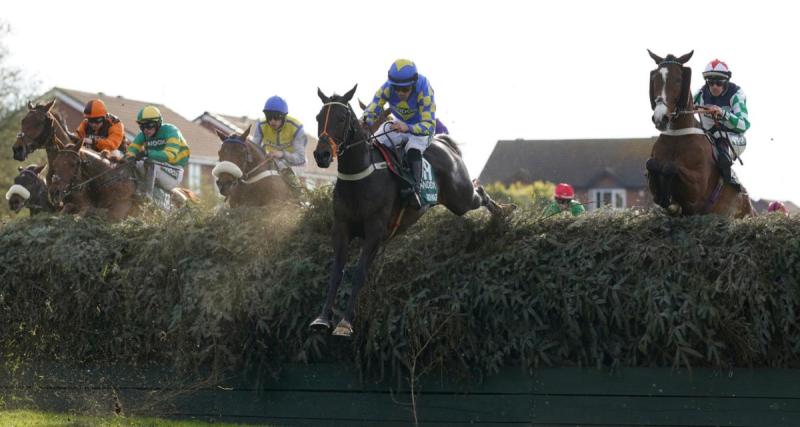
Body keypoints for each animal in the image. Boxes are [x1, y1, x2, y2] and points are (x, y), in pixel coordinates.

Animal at [308, 84, 506, 338]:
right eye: (318, 117)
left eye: (342, 118)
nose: (321, 155)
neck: (360, 176)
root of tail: (444, 143)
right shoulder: (341, 228)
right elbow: (336, 273)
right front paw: (322, 318)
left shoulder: (374, 231)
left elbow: (359, 272)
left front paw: (344, 323)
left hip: (460, 198)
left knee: (479, 191)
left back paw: (505, 213)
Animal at [648, 50, 752, 217]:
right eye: (655, 78)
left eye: (678, 79)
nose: (660, 118)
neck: (678, 136)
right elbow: (651, 164)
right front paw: (668, 202)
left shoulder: (697, 191)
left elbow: (671, 167)